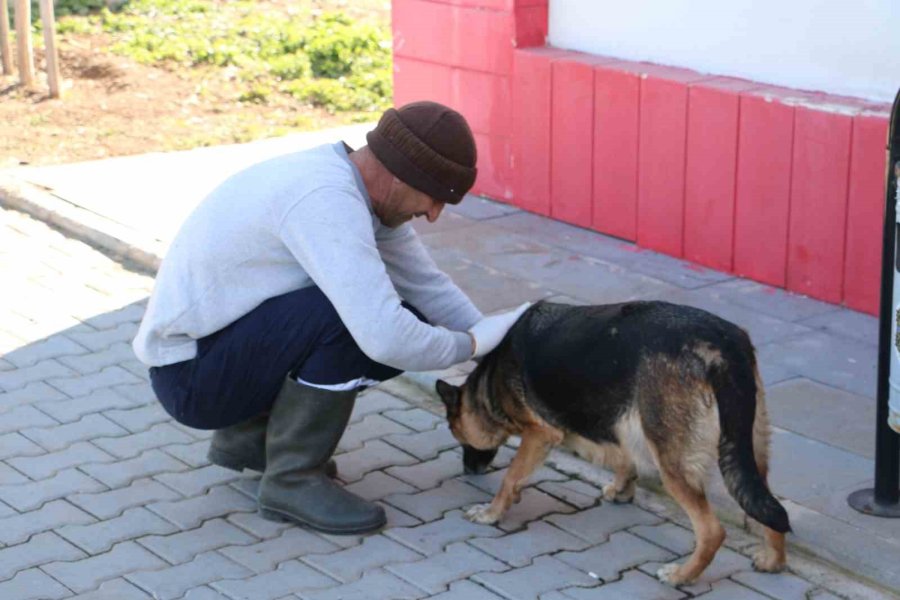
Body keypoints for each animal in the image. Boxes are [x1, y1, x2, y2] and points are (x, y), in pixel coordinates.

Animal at [436, 300, 788, 584]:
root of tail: (722, 345)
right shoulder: (619, 422)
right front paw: (622, 489)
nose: (469, 471)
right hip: (747, 450)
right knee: (768, 506)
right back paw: (774, 560)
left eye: (459, 437)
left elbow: (510, 477)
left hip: (673, 463)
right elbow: (624, 458)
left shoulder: (541, 434)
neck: (490, 379)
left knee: (712, 531)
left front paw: (492, 512)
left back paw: (682, 576)